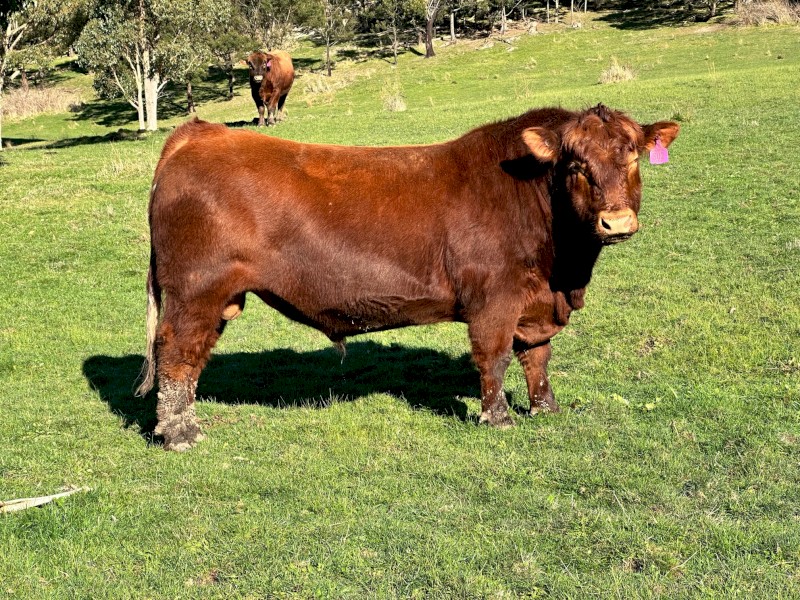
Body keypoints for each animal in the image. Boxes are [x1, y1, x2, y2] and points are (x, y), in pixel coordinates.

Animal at [135, 105, 679, 451]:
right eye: (576, 165)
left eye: (633, 155)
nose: (616, 222)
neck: (563, 273)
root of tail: (198, 133)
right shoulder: (494, 301)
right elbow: (495, 359)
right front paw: (498, 419)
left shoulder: (534, 305)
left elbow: (537, 360)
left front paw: (546, 409)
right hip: (194, 291)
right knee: (177, 356)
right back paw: (180, 434)